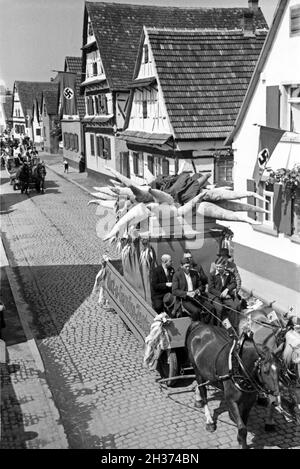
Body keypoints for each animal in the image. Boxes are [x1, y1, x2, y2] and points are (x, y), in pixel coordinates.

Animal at [185, 320, 282, 448]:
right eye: (265, 371)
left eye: (280, 370)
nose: (276, 400)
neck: (239, 366)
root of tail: (199, 325)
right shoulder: (231, 400)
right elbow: (242, 428)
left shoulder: (249, 401)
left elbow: (244, 424)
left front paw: (241, 440)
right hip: (197, 370)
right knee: (203, 392)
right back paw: (209, 420)